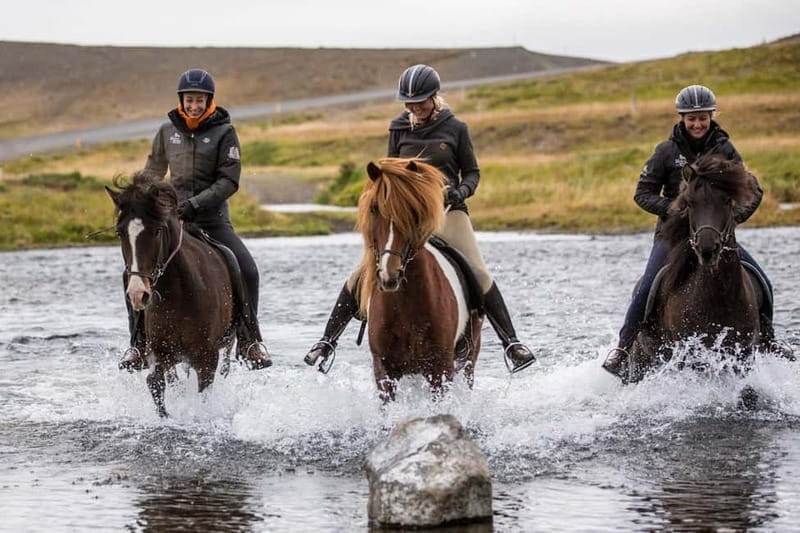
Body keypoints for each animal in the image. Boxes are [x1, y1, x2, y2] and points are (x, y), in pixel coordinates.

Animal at [106, 172, 236, 417]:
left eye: (156, 231)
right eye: (120, 233)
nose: (138, 293)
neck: (178, 294)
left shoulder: (207, 358)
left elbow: (204, 395)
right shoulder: (161, 352)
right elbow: (155, 383)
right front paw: (165, 416)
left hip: (226, 345)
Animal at [355, 158, 483, 402]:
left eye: (412, 211)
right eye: (374, 209)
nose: (389, 275)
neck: (406, 303)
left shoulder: (440, 369)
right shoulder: (384, 369)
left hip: (469, 358)